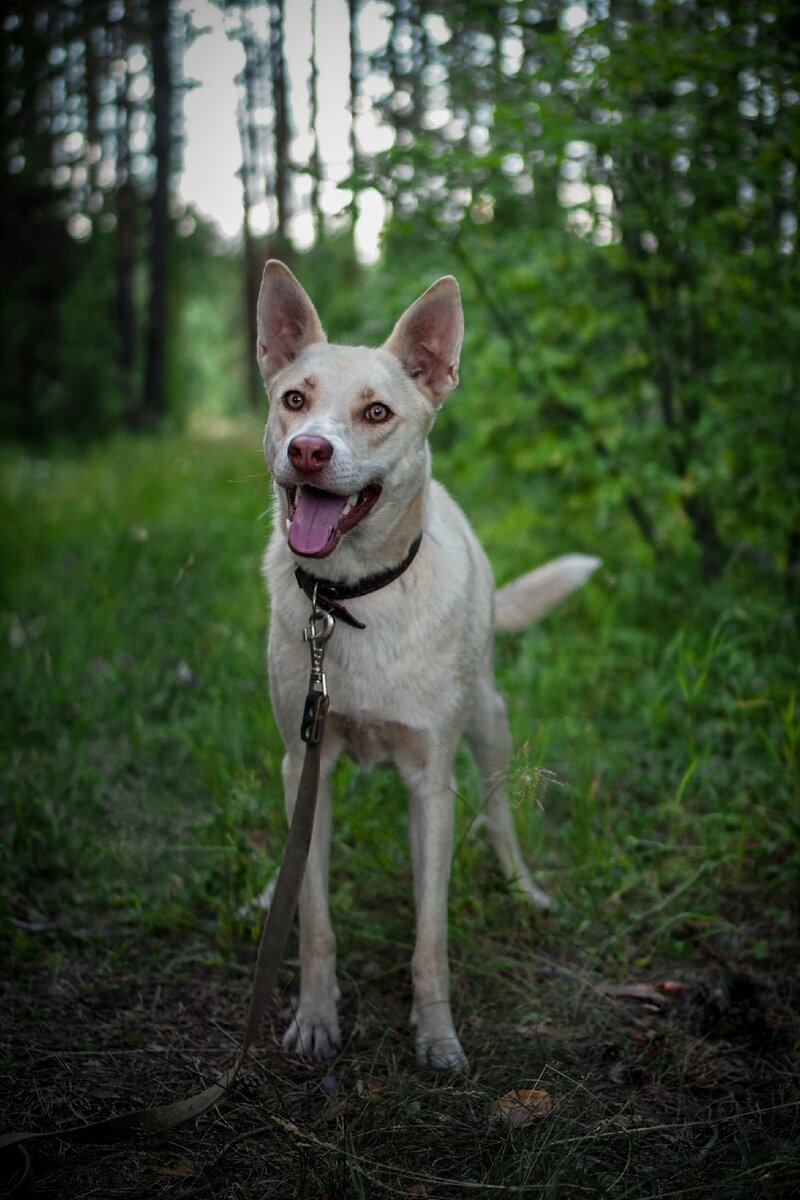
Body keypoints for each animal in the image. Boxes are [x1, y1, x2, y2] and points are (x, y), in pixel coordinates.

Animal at [260, 262, 597, 1070]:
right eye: (294, 400)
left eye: (376, 412)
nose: (308, 450)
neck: (352, 600)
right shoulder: (304, 765)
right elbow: (314, 918)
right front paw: (315, 1018)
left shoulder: (432, 785)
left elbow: (429, 935)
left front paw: (437, 1035)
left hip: (490, 723)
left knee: (501, 814)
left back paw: (523, 889)